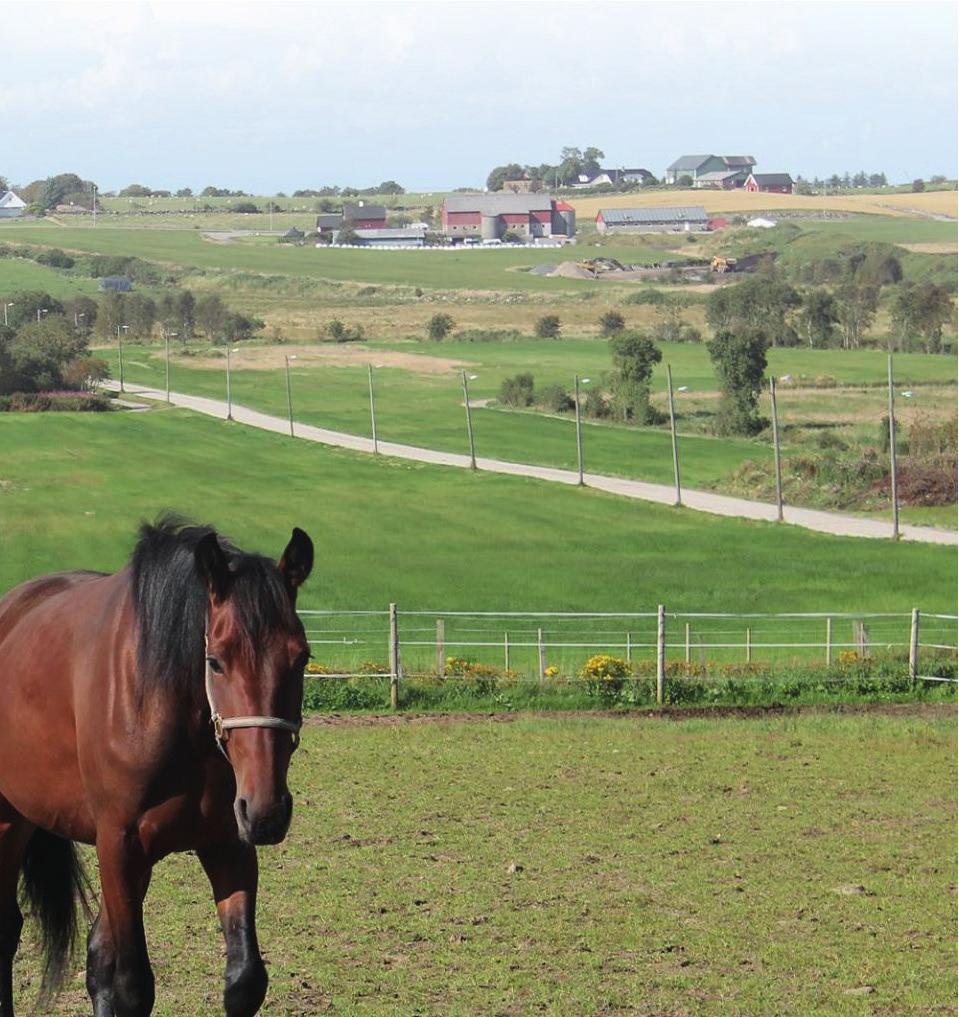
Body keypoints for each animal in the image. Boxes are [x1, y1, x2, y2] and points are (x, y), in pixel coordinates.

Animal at [0, 516, 315, 1016]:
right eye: (215, 662)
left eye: (302, 657)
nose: (267, 812)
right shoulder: (118, 846)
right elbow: (133, 985)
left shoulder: (227, 842)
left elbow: (244, 979)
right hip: (9, 822)